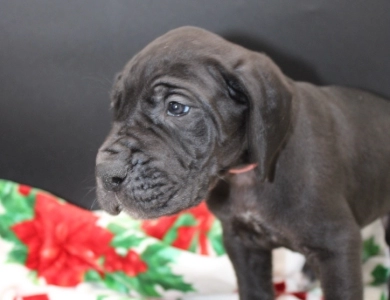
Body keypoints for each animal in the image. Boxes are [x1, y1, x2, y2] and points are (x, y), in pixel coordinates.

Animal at [96, 27, 390, 298]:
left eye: (176, 108)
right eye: (116, 108)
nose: (105, 172)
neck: (246, 173)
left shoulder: (338, 244)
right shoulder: (242, 242)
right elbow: (254, 290)